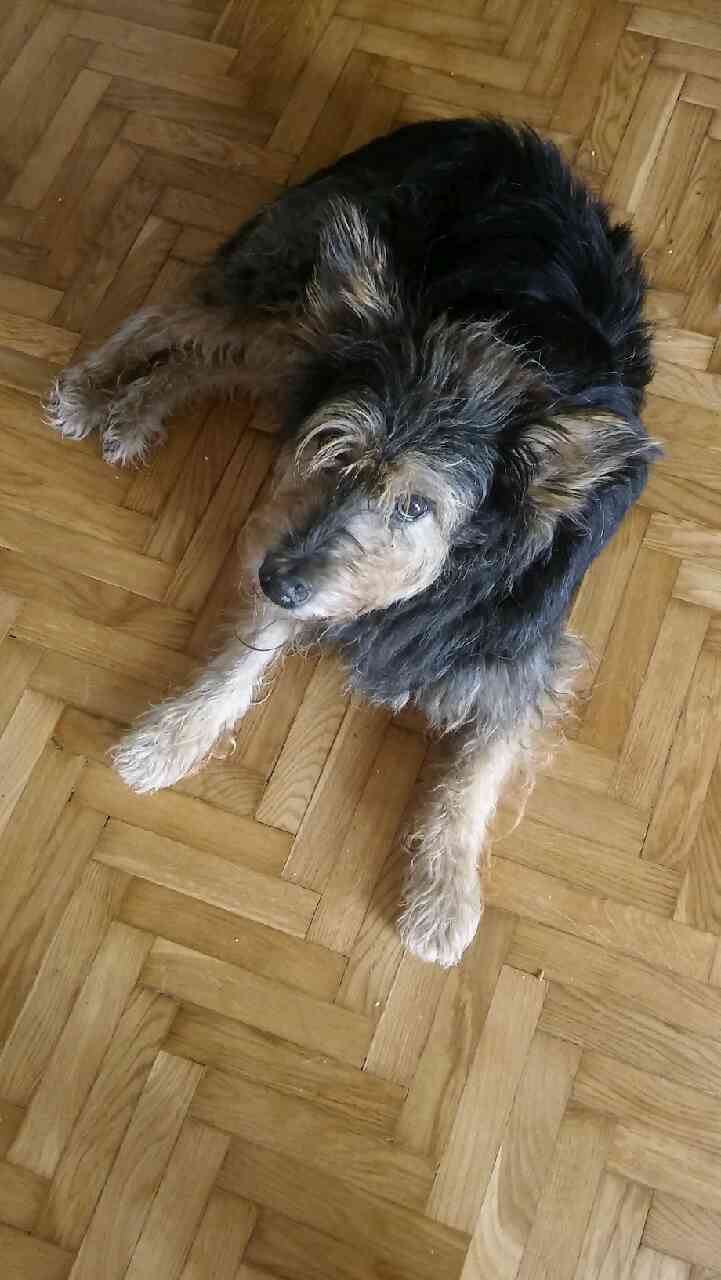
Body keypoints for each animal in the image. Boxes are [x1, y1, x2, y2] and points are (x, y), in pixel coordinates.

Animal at [47, 118, 657, 967]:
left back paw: (136, 411)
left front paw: (442, 897)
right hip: (308, 323)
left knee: (208, 363)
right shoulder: (298, 541)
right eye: (333, 452)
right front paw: (173, 738)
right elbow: (240, 664)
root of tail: (462, 127)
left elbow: (471, 784)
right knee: (175, 321)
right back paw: (92, 388)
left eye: (417, 505)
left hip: (308, 352)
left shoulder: (521, 661)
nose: (273, 579)